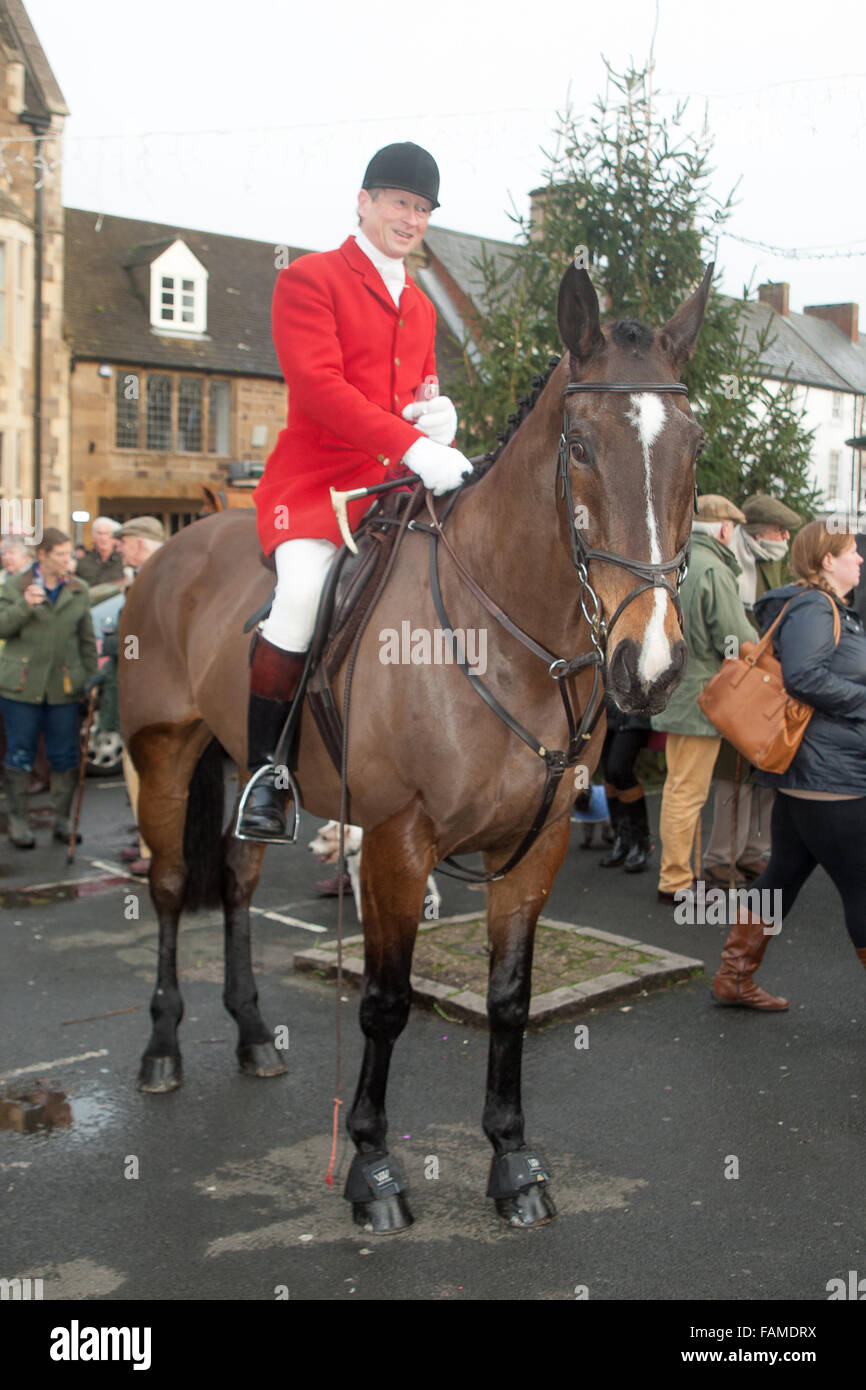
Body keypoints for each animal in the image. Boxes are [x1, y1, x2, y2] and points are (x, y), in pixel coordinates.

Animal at [308, 822, 439, 922]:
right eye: (319, 834)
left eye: (325, 838)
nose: (310, 848)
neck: (358, 846)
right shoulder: (356, 876)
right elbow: (359, 897)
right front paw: (362, 915)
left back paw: (434, 899)